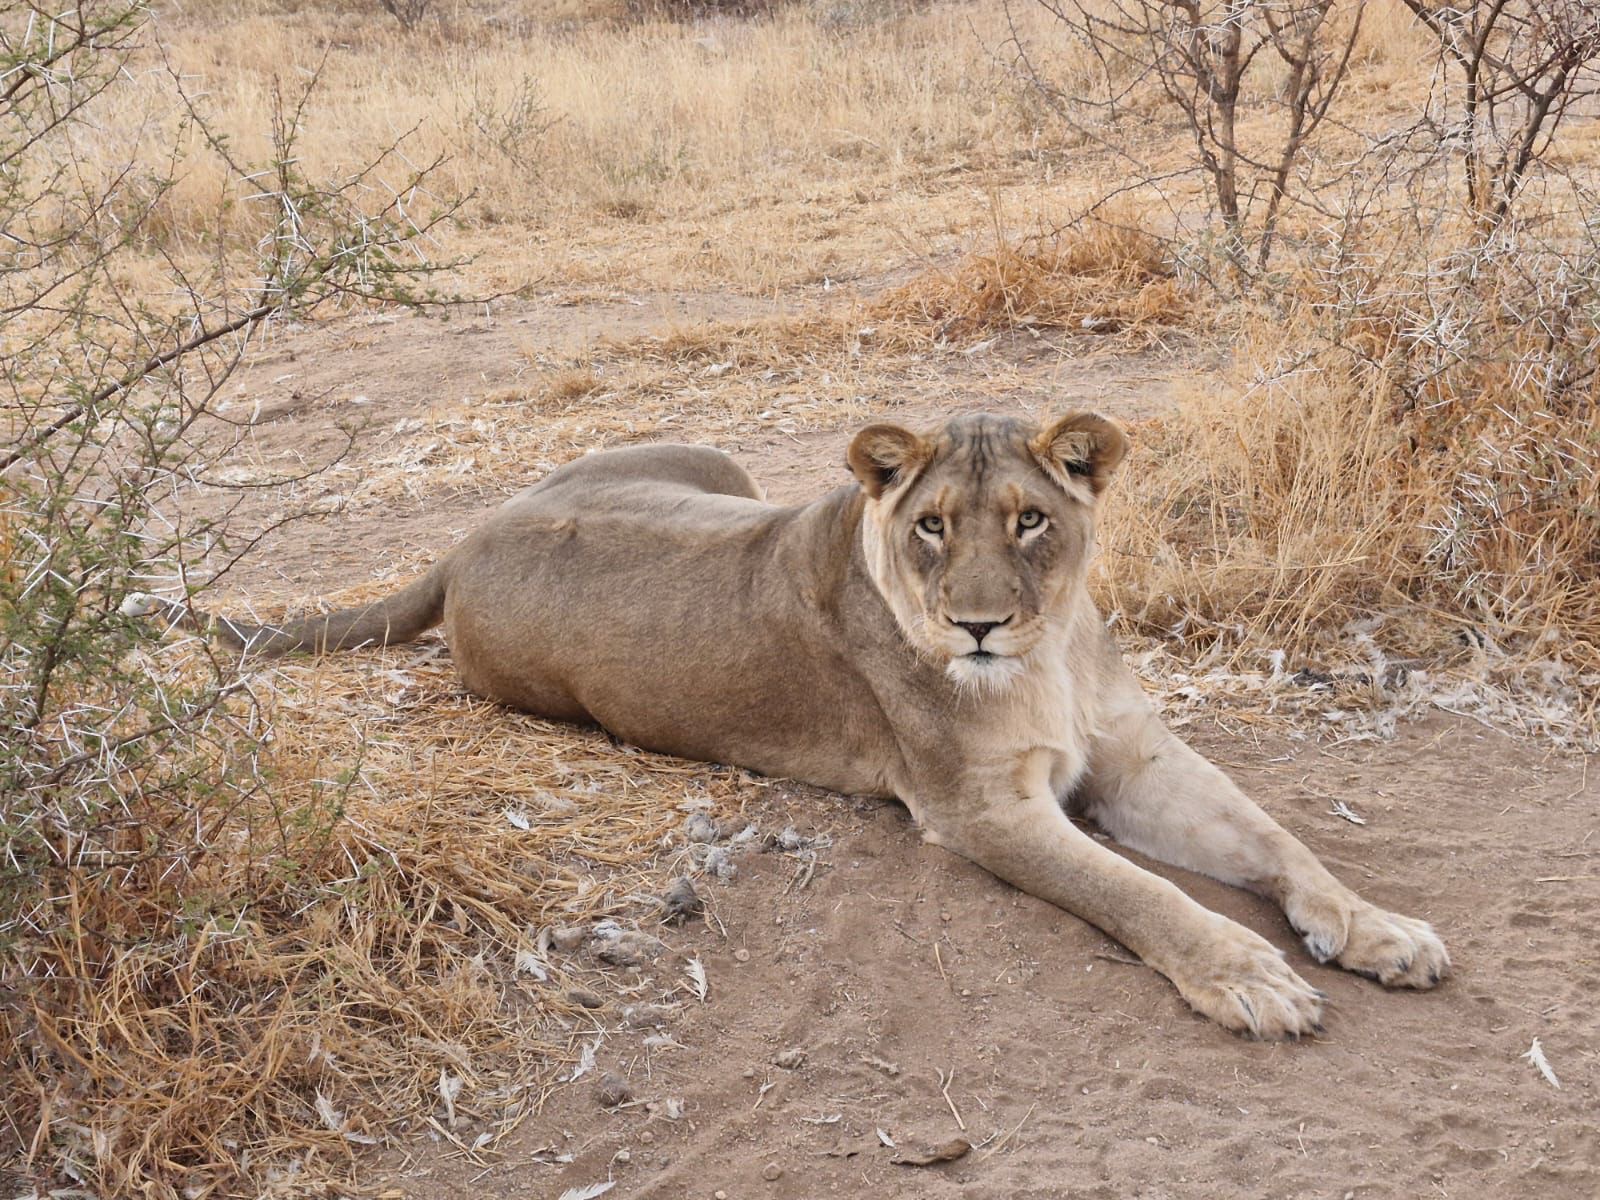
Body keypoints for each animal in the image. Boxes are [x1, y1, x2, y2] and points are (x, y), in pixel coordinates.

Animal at [144, 411, 1449, 1038]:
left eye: (1030, 520)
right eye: (932, 525)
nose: (978, 625)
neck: (1051, 647)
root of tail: (464, 539)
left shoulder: (1132, 756)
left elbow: (1275, 839)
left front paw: (1377, 930)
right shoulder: (979, 808)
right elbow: (1138, 892)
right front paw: (1248, 976)